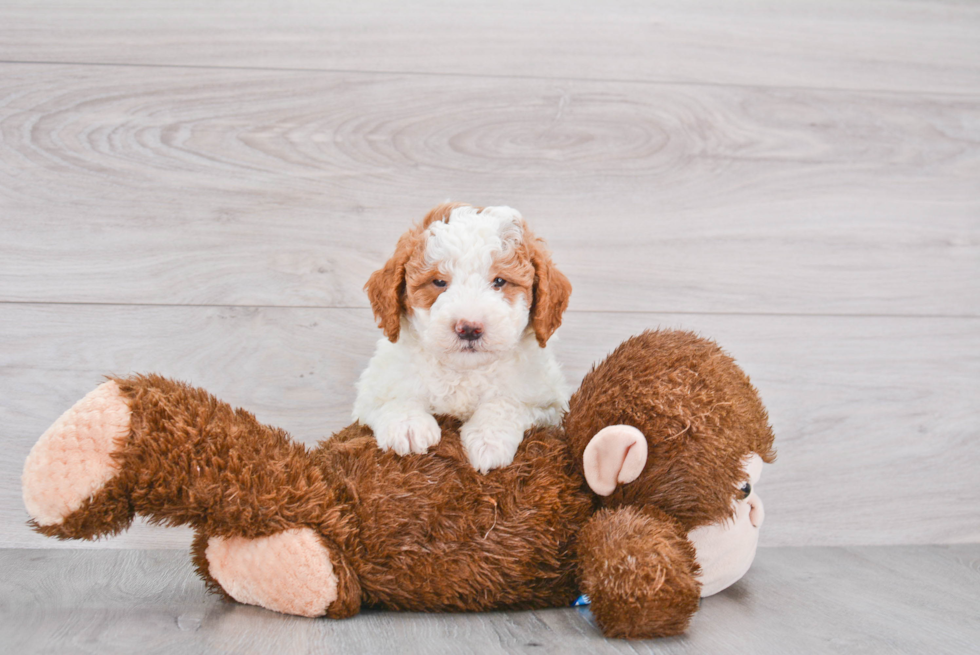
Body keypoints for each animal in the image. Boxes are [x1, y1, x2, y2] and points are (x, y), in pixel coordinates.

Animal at [354, 202, 576, 474]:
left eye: (499, 281)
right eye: (439, 282)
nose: (469, 328)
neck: (463, 372)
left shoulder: (549, 404)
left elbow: (507, 402)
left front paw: (488, 440)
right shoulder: (370, 391)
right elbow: (394, 395)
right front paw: (408, 426)